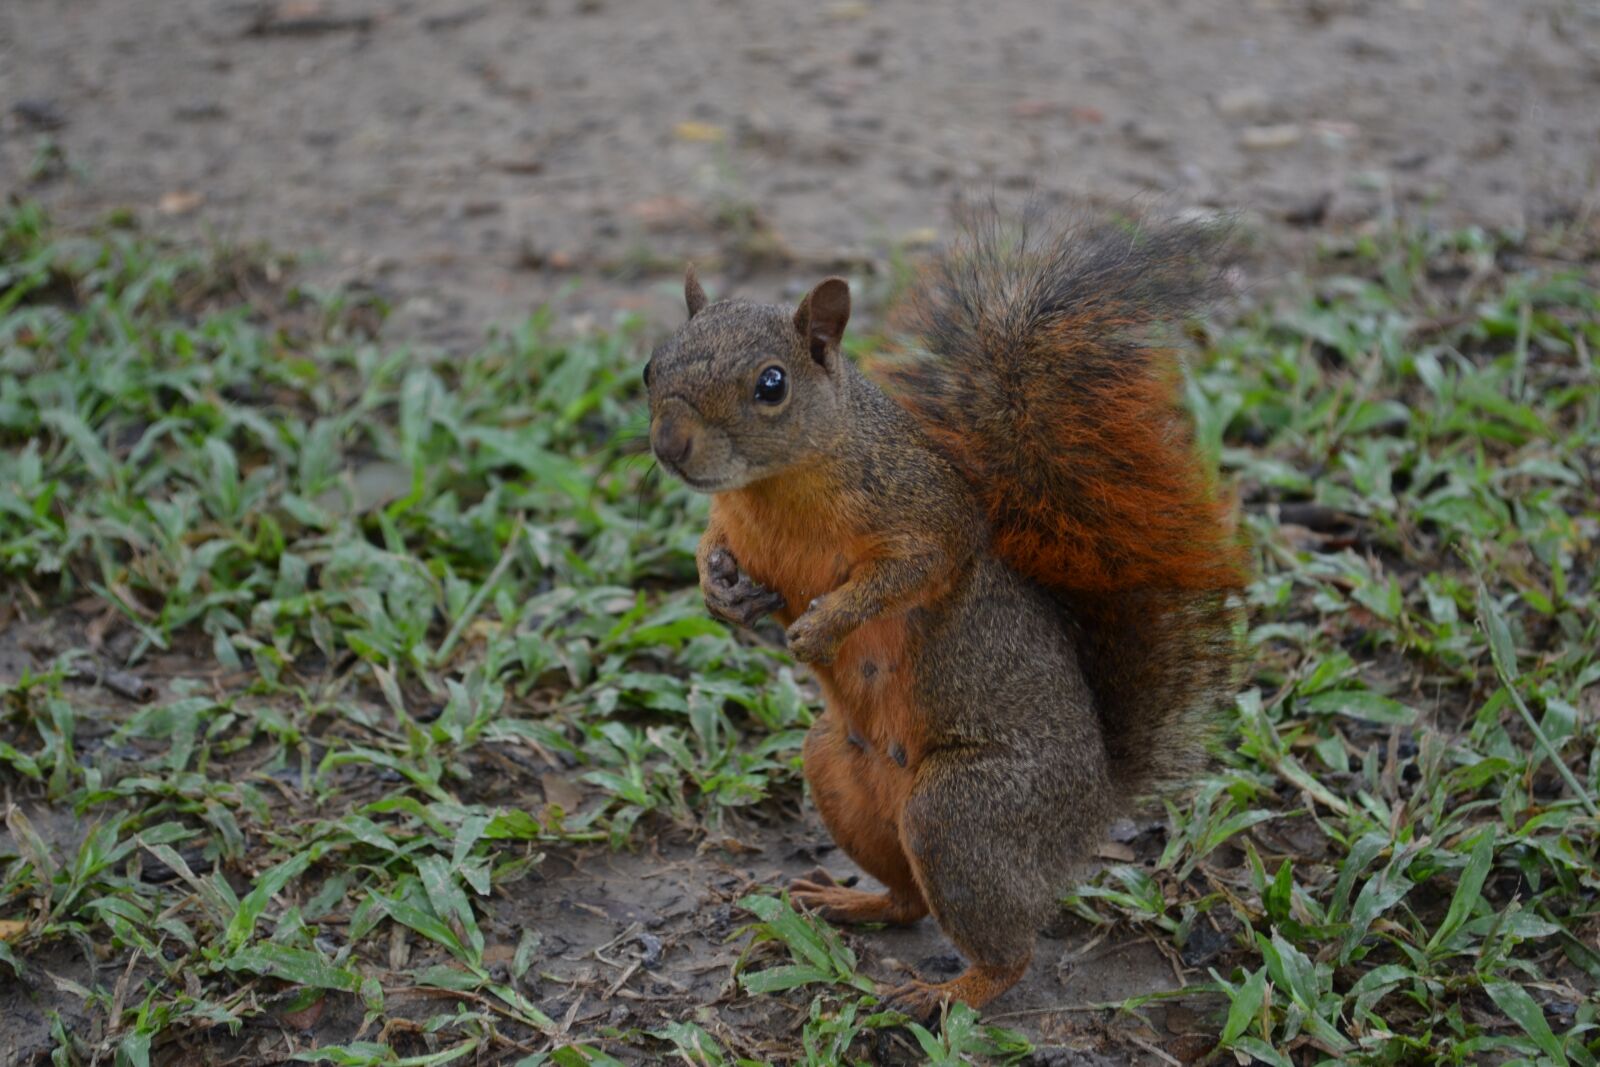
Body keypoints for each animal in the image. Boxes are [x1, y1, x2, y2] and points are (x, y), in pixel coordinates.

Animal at [643, 211, 1248, 1020]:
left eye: (772, 385)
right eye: (652, 367)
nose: (670, 446)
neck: (774, 486)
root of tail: (1093, 808)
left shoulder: (926, 513)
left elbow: (910, 571)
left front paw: (822, 625)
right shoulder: (730, 519)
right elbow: (710, 544)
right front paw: (720, 592)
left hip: (959, 815)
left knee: (1008, 952)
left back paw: (945, 993)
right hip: (838, 770)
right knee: (909, 900)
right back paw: (853, 903)